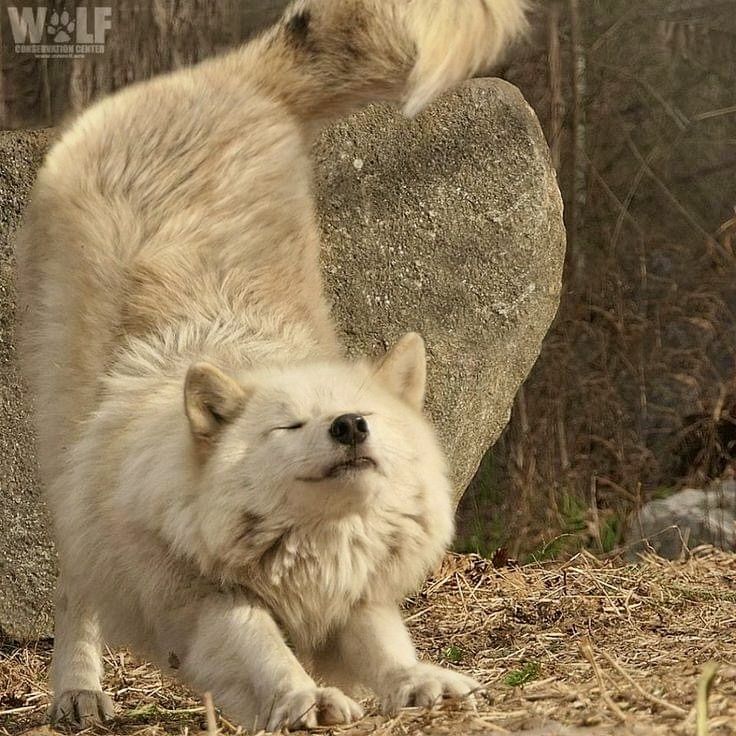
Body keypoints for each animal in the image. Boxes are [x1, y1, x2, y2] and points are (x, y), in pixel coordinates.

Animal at [14, 0, 528, 728]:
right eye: (289, 426)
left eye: (364, 416)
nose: (349, 427)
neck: (312, 552)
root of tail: (218, 79)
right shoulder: (204, 601)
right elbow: (259, 642)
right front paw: (303, 697)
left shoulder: (354, 597)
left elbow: (384, 642)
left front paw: (416, 681)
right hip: (68, 458)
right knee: (75, 589)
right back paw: (77, 692)